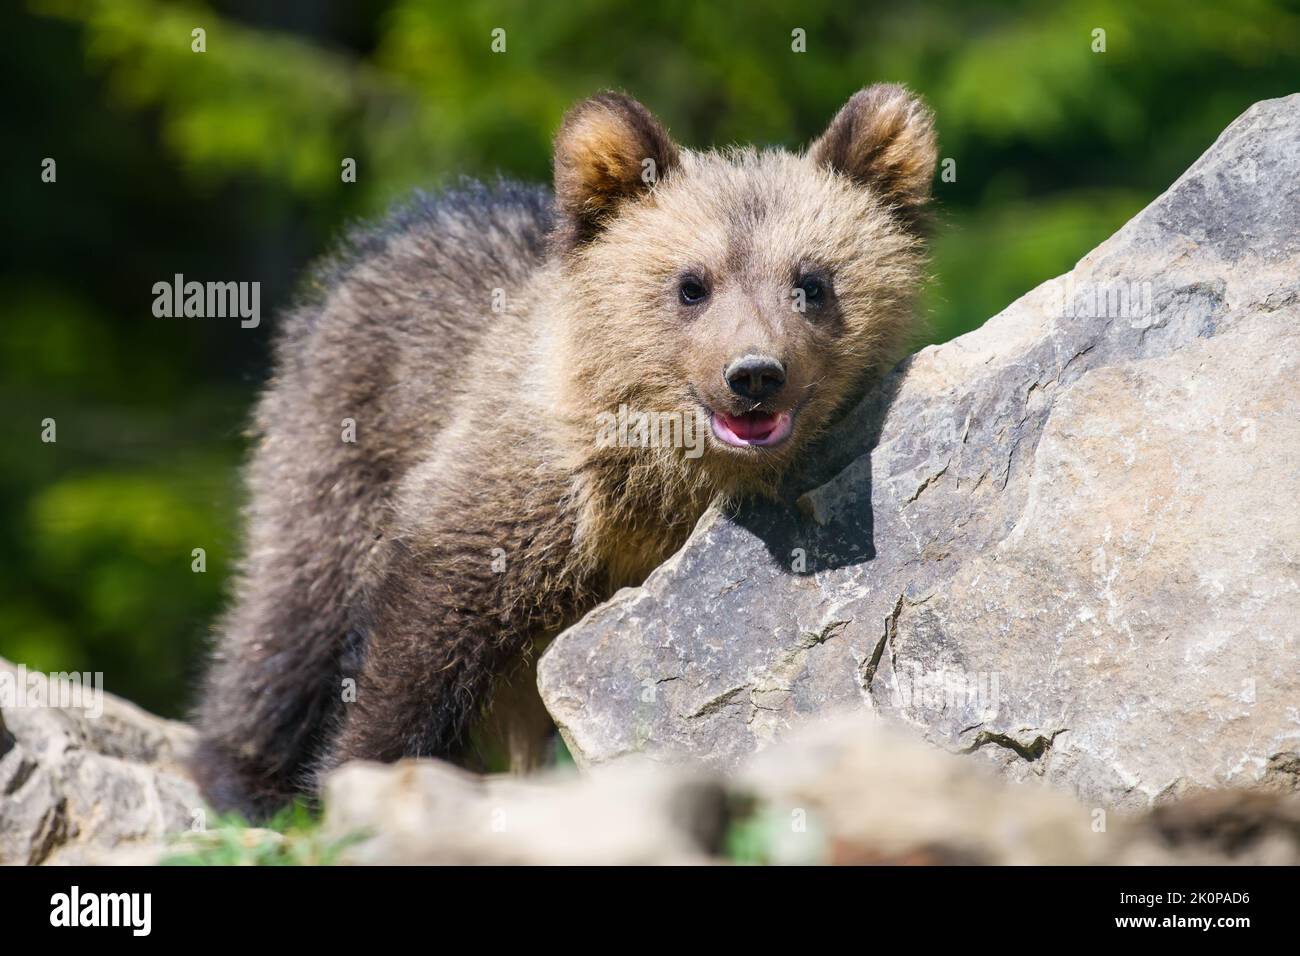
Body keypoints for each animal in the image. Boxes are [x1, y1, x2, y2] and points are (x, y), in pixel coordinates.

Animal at [192, 84, 938, 819]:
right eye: (691, 284)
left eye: (813, 282)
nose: (754, 374)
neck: (658, 478)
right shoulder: (519, 489)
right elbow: (426, 628)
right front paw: (361, 768)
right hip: (340, 436)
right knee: (299, 599)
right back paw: (242, 773)